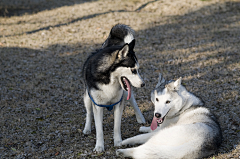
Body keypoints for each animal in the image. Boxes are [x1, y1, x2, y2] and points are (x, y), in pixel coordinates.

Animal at [82, 23, 145, 152]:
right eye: (133, 70)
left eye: (138, 69)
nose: (143, 84)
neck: (109, 79)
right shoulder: (97, 105)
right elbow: (99, 129)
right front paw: (99, 146)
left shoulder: (118, 103)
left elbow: (117, 125)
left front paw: (118, 142)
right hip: (87, 97)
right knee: (89, 112)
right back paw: (87, 128)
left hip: (126, 93)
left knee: (133, 101)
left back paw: (140, 118)